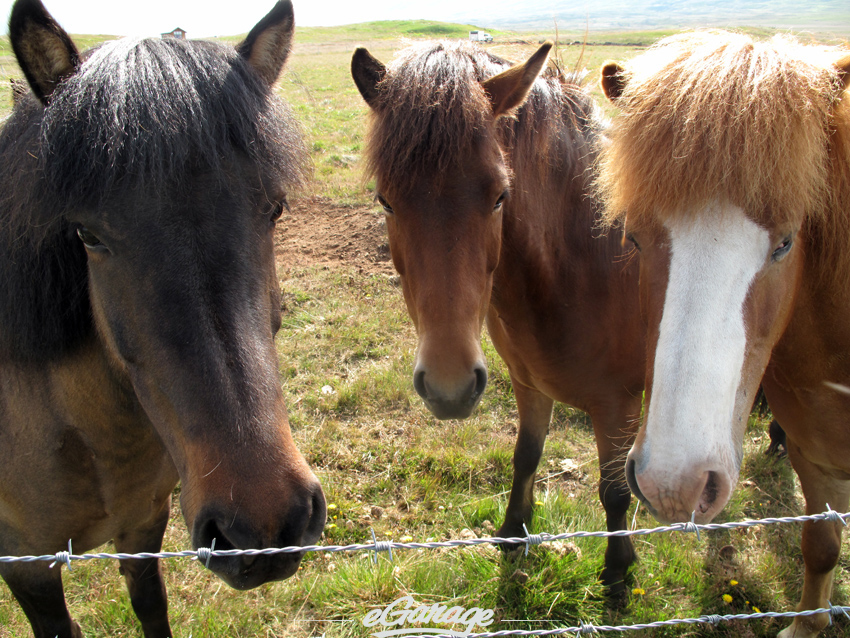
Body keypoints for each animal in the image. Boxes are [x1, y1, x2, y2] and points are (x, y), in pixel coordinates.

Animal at [0, 1, 324, 638]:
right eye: (87, 235)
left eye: (275, 208)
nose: (262, 529)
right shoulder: (26, 566)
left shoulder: (144, 524)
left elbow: (150, 604)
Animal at [352, 42, 644, 596]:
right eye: (386, 200)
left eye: (500, 196)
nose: (449, 387)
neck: (587, 262)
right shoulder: (528, 382)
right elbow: (526, 454)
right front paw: (512, 532)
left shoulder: (618, 404)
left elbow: (615, 491)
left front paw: (618, 571)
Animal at [596, 31, 848, 638]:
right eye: (633, 237)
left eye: (786, 243)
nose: (675, 485)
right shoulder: (815, 459)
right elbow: (821, 543)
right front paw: (807, 624)